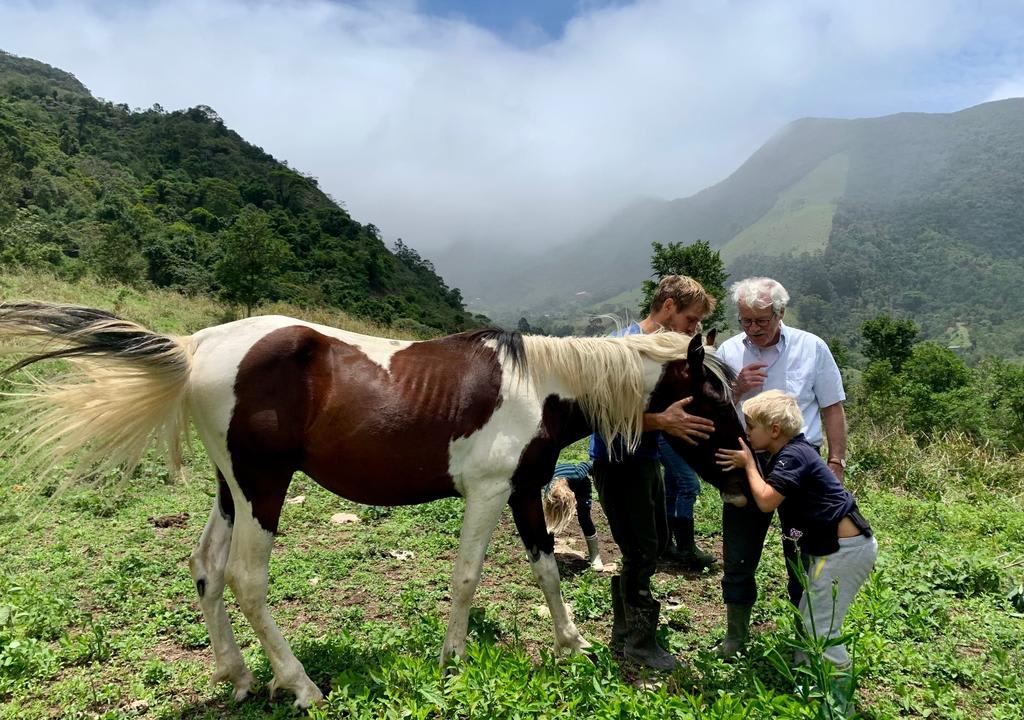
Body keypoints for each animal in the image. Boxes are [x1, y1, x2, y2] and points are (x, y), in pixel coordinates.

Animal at [0, 303, 745, 708]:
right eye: (711, 397)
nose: (743, 477)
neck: (540, 384)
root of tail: (199, 345)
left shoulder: (523, 492)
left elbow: (545, 570)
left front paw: (573, 643)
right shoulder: (487, 495)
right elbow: (467, 578)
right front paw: (453, 657)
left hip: (231, 491)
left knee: (206, 569)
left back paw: (238, 677)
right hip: (262, 489)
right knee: (245, 579)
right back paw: (299, 685)